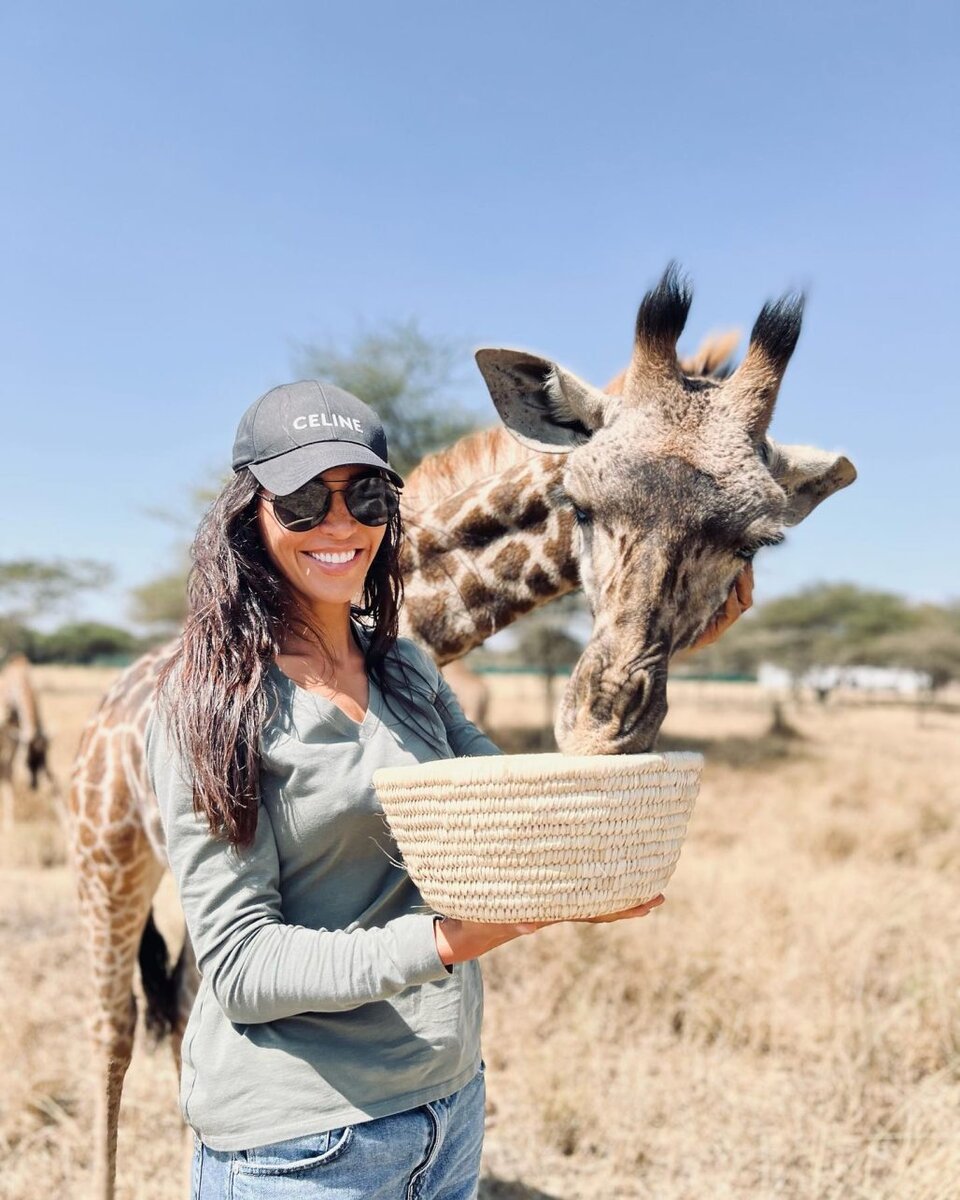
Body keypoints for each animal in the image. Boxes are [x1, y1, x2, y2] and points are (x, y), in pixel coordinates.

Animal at [67, 266, 855, 1198]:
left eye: (757, 542)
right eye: (579, 503)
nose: (603, 725)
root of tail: (107, 706)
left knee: (194, 996)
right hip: (106, 861)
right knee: (112, 1027)